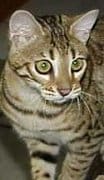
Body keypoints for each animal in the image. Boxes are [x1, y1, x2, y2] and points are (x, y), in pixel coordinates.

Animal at [0, 8, 104, 180]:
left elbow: (73, 172)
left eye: (76, 64)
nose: (65, 91)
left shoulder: (90, 140)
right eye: (43, 65)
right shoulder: (40, 142)